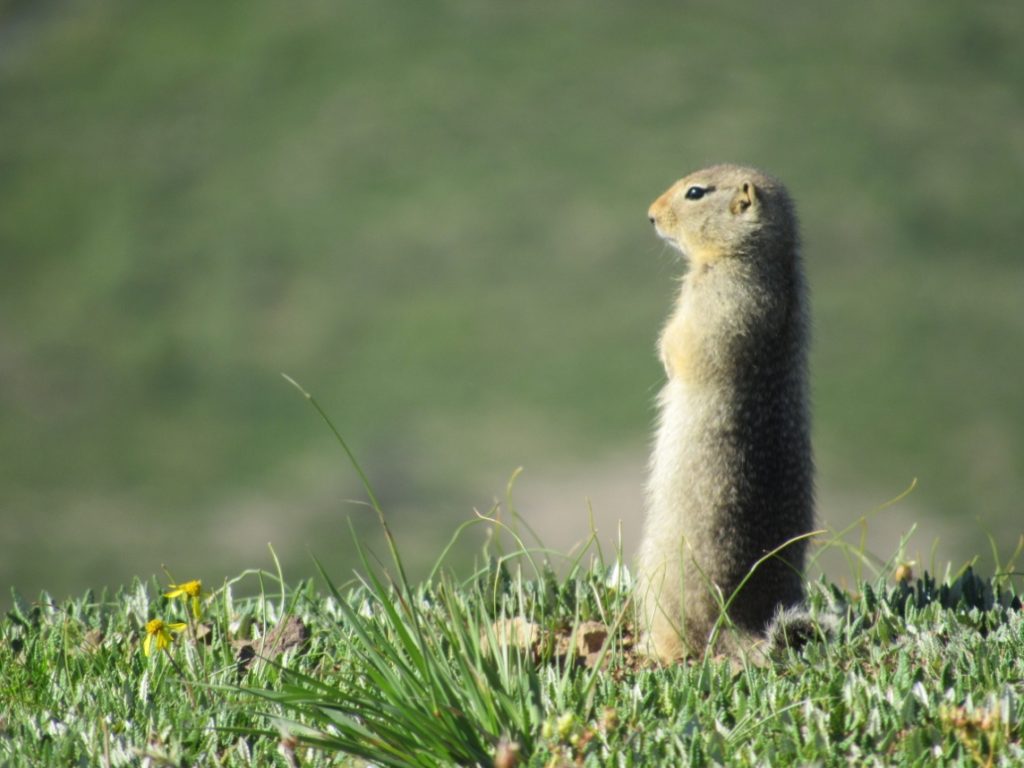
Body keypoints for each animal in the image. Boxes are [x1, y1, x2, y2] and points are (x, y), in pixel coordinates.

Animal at [634, 162, 811, 663]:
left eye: (695, 193)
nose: (650, 215)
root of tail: (740, 620)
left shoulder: (717, 295)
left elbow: (684, 342)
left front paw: (666, 354)